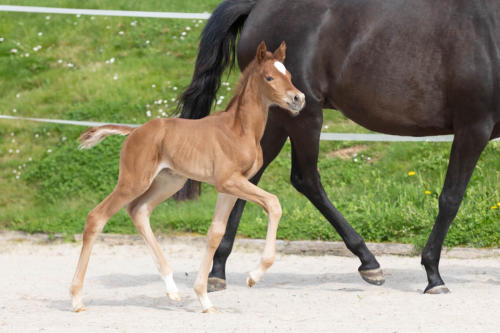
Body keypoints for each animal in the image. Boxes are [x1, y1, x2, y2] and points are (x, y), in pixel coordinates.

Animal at [70, 41, 304, 312]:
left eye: (289, 75)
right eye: (269, 77)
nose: (298, 98)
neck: (239, 129)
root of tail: (134, 131)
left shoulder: (228, 187)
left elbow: (215, 233)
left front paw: (204, 298)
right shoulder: (229, 181)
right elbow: (273, 204)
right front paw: (253, 276)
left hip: (169, 181)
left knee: (138, 211)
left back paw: (172, 289)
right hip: (134, 181)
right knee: (97, 217)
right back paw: (76, 299)